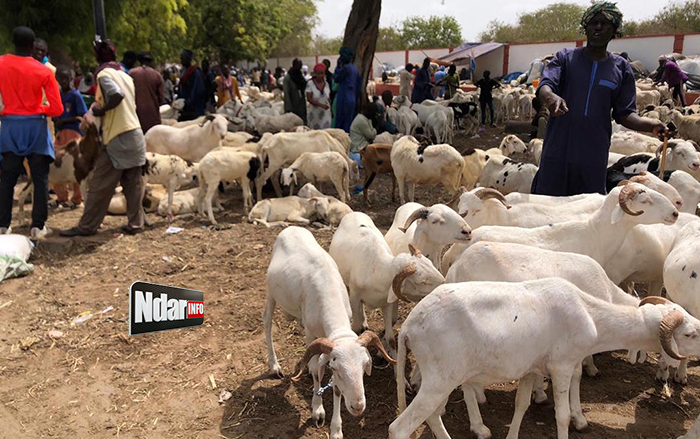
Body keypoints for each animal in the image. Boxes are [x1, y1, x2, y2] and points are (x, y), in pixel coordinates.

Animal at [264, 227, 394, 439]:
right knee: (267, 321)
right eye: (337, 369)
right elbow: (317, 371)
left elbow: (336, 389)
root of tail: (291, 228)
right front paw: (318, 410)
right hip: (270, 292)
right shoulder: (311, 335)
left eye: (364, 366)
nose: (358, 407)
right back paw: (274, 366)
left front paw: (336, 430)